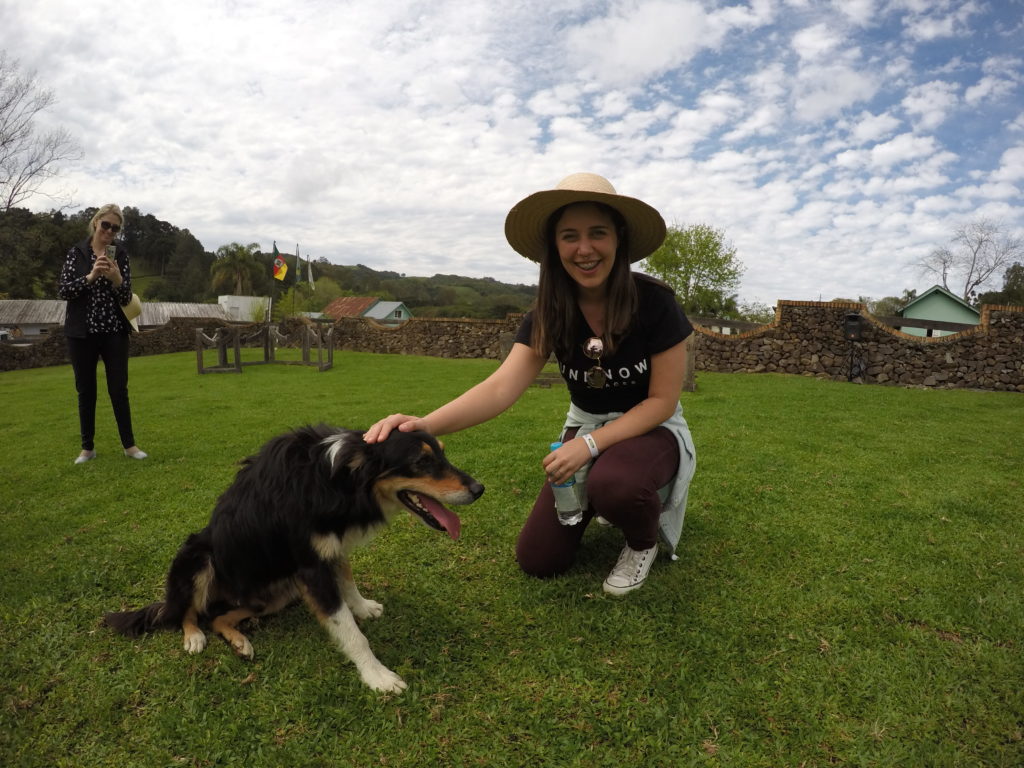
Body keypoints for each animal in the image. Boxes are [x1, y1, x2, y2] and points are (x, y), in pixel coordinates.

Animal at [103, 423, 483, 696]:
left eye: (442, 454)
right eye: (422, 462)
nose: (479, 489)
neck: (338, 480)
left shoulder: (331, 548)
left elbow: (347, 579)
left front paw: (362, 607)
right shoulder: (311, 567)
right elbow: (349, 629)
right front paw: (377, 675)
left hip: (279, 592)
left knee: (219, 617)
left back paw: (239, 642)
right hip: (198, 558)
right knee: (186, 611)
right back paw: (193, 635)